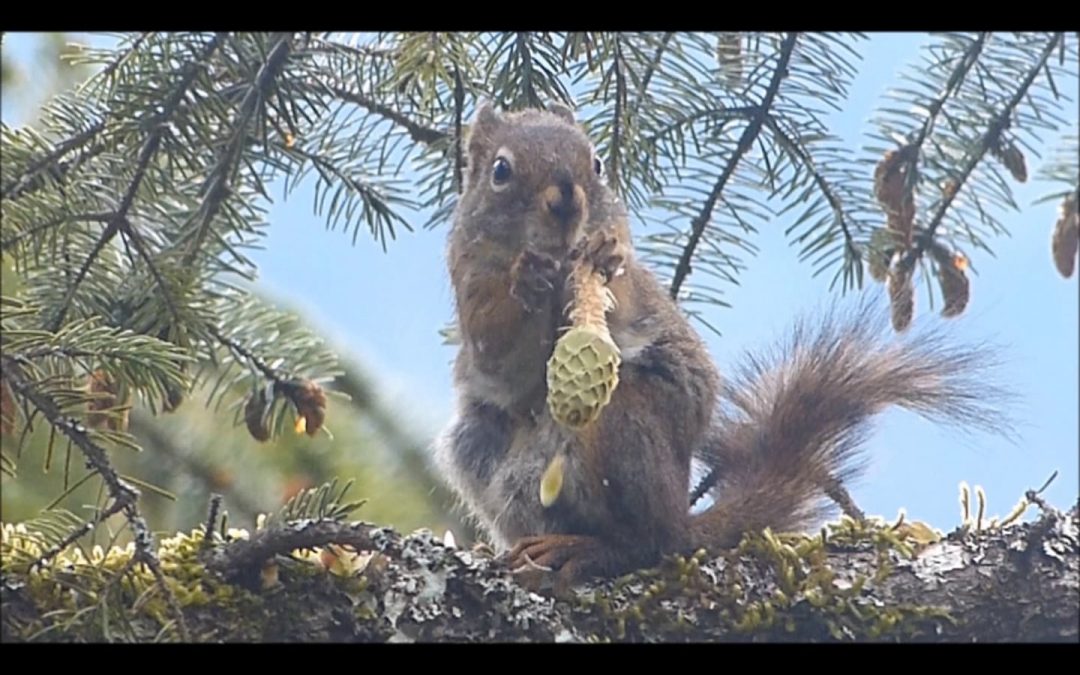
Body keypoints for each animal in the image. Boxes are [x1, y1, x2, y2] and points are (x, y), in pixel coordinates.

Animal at [434, 101, 1007, 592]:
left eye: (596, 162)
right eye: (501, 171)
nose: (565, 200)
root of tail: (680, 514)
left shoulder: (634, 291)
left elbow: (626, 296)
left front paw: (603, 255)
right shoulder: (471, 286)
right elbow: (497, 350)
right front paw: (524, 279)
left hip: (623, 425)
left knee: (649, 544)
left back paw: (590, 550)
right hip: (479, 450)